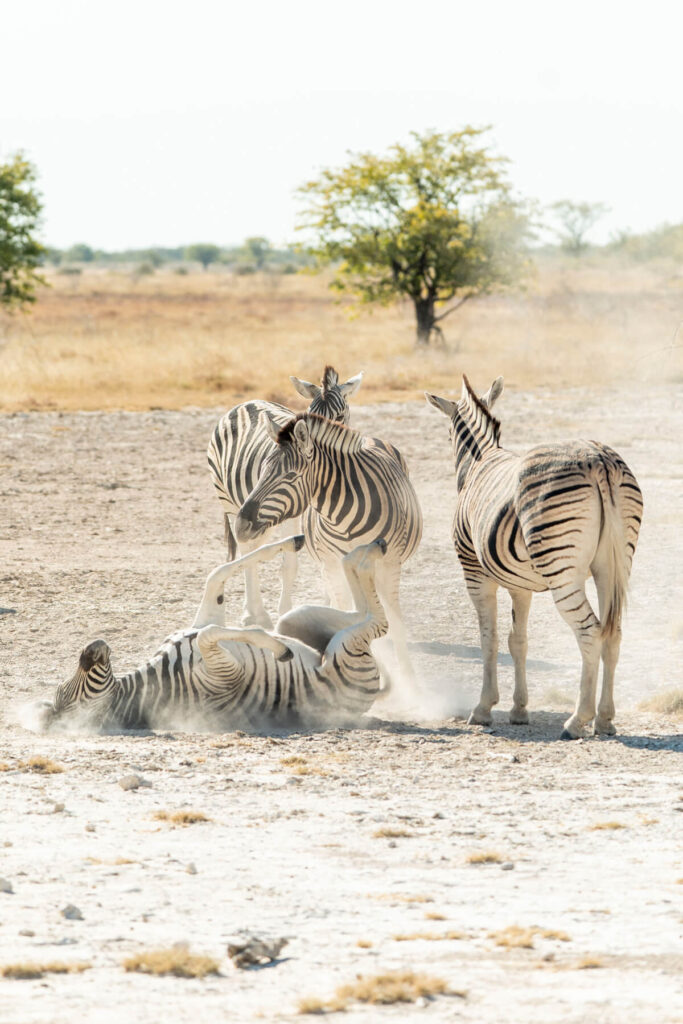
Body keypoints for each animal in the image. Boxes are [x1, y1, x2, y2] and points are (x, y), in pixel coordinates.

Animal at [38, 535, 389, 733]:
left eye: (61, 687)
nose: (92, 646)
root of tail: (371, 693)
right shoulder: (224, 673)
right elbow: (210, 632)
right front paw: (277, 649)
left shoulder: (207, 616)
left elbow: (217, 575)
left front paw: (289, 542)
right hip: (346, 650)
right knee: (376, 621)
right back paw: (367, 555)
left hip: (295, 619)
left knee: (358, 609)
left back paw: (359, 552)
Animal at [207, 366, 363, 629]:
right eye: (309, 414)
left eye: (340, 416)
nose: (310, 450)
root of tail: (245, 403)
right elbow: (290, 564)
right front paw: (286, 613)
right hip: (230, 502)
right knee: (247, 552)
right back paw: (255, 615)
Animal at [234, 412, 423, 681]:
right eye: (260, 472)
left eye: (290, 476)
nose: (240, 525)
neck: (343, 516)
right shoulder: (332, 563)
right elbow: (344, 612)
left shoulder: (390, 563)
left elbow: (396, 623)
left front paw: (409, 679)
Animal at [426, 375, 643, 739]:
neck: (481, 459)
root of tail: (598, 458)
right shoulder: (520, 585)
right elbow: (518, 641)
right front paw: (519, 710)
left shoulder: (474, 572)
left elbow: (489, 639)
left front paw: (483, 708)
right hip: (614, 566)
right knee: (613, 632)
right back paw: (605, 719)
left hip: (563, 570)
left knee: (590, 631)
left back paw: (577, 720)